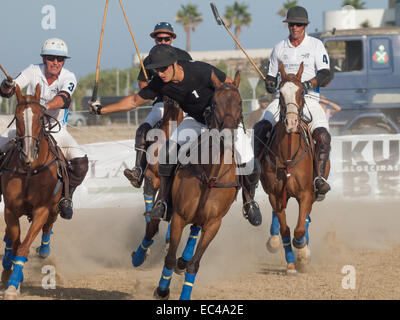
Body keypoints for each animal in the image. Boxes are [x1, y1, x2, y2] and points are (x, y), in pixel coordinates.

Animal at [0, 84, 66, 298]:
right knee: (10, 238)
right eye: (17, 117)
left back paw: (44, 251)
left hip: (55, 209)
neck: (30, 169)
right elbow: (15, 244)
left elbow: (23, 247)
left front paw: (13, 285)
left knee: (48, 228)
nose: (28, 154)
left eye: (39, 117)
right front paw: (11, 278)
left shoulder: (41, 210)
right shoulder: (11, 210)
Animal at [152, 70, 241, 300]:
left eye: (239, 102)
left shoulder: (214, 224)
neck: (211, 174)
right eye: (215, 103)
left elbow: (195, 264)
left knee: (194, 231)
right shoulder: (179, 217)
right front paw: (162, 290)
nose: (228, 135)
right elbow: (169, 258)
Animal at [258, 63, 330, 276]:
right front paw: (291, 264)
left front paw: (302, 253)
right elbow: (285, 229)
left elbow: (299, 229)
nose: (291, 123)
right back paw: (274, 241)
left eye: (301, 92)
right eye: (280, 93)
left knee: (305, 219)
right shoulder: (275, 195)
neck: (288, 155)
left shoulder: (305, 193)